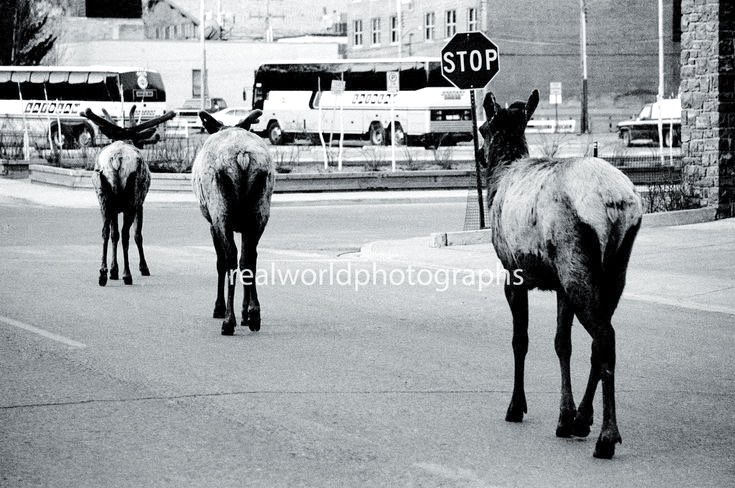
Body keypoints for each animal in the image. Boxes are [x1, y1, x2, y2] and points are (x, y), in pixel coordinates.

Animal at [82, 107, 177, 286]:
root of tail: (117, 159)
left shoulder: (113, 208)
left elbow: (114, 235)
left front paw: (113, 271)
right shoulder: (140, 204)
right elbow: (137, 235)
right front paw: (143, 267)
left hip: (103, 198)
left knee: (105, 232)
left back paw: (103, 273)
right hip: (132, 200)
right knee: (126, 234)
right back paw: (127, 274)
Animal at [193, 108, 276, 336]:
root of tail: (242, 156)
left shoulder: (212, 224)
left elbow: (220, 263)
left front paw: (219, 307)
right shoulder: (246, 226)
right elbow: (247, 261)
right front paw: (246, 313)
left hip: (221, 212)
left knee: (230, 258)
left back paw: (228, 320)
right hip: (260, 212)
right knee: (250, 258)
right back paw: (254, 315)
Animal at [480, 89, 640, 460]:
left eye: (482, 128)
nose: (480, 157)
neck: (501, 177)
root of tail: (616, 203)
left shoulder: (513, 273)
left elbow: (520, 340)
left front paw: (516, 407)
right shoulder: (559, 288)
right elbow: (561, 343)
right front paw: (565, 416)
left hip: (575, 262)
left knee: (605, 337)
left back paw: (606, 437)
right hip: (612, 271)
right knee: (600, 340)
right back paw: (583, 420)